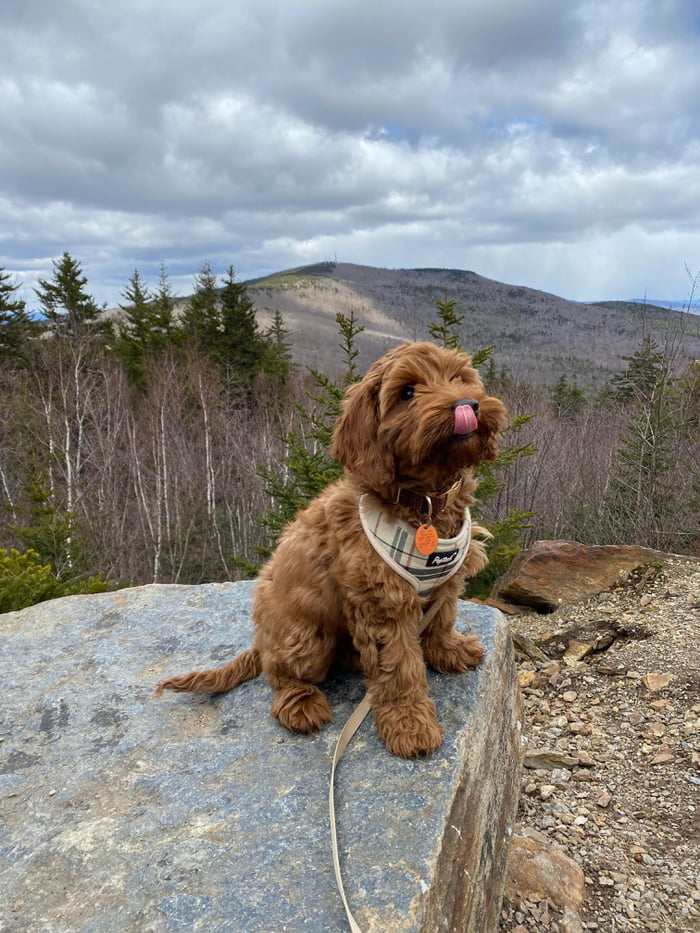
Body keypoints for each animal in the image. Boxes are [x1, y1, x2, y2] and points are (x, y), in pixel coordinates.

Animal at [158, 342, 506, 756]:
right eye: (407, 392)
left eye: (459, 378)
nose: (467, 405)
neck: (424, 503)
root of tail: (262, 641)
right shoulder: (383, 603)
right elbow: (400, 667)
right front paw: (409, 723)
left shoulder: (445, 581)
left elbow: (442, 619)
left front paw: (449, 651)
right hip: (305, 637)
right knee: (281, 674)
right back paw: (300, 703)